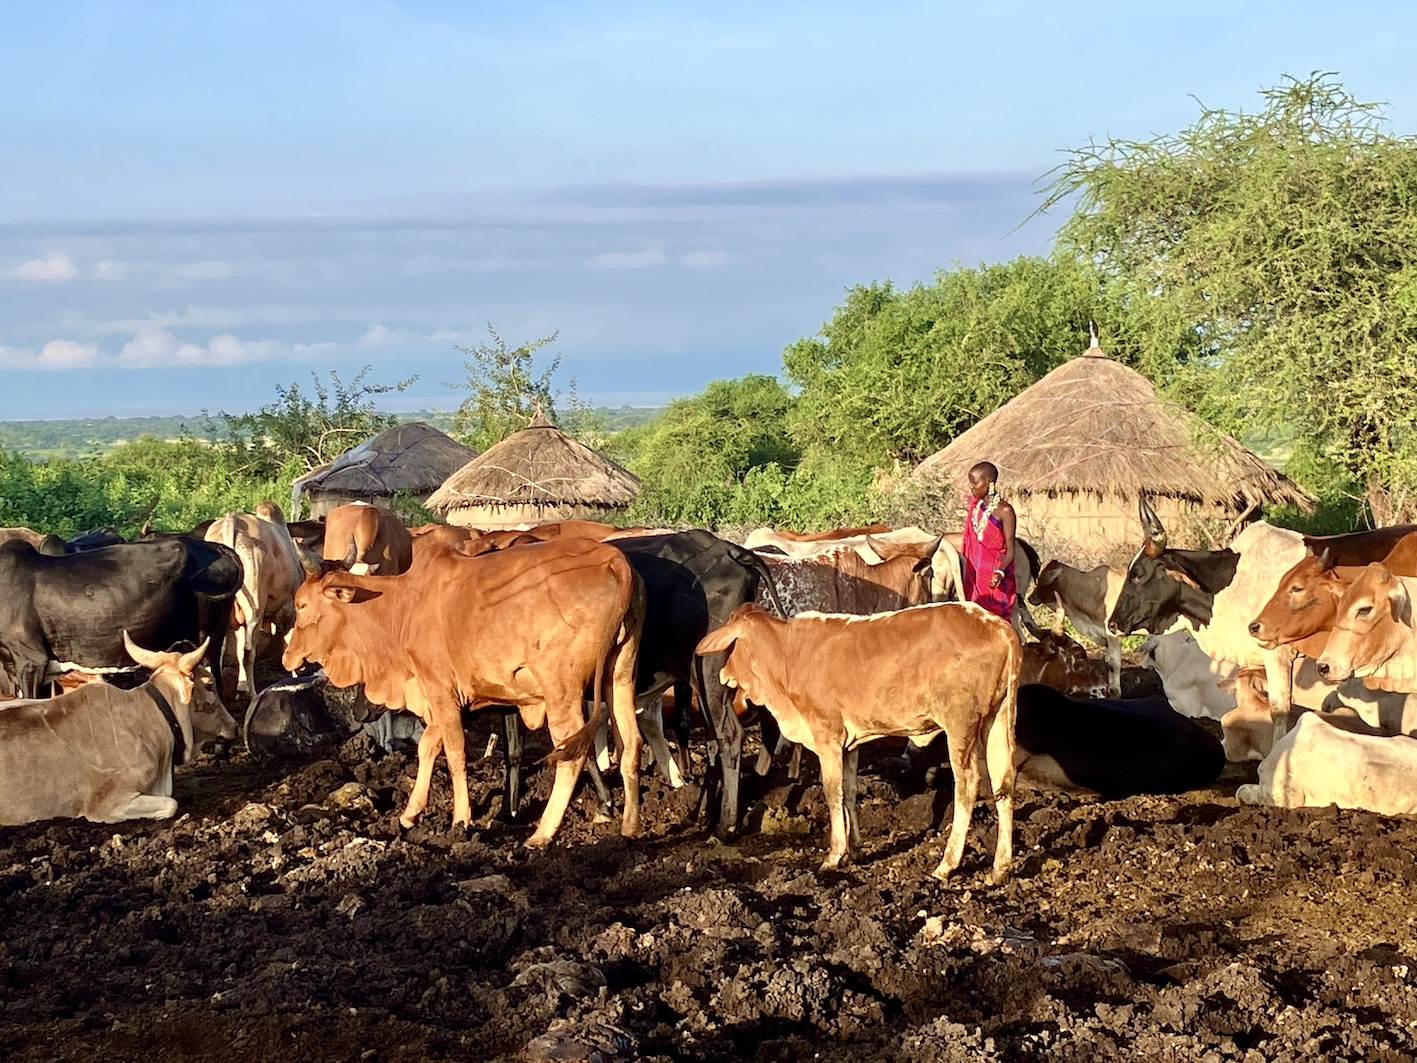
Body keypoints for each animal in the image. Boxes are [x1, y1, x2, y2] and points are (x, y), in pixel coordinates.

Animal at [205, 502, 305, 697]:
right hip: (255, 609)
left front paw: (240, 686)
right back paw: (253, 694)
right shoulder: (289, 611)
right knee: (248, 651)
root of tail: (231, 520)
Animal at [283, 537, 644, 846]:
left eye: (301, 605)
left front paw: (461, 819)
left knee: (572, 753)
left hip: (561, 692)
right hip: (619, 676)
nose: (287, 656)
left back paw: (542, 834)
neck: (402, 607)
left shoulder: (441, 691)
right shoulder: (438, 698)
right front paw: (410, 813)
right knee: (631, 742)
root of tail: (612, 559)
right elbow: (428, 746)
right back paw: (630, 826)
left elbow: (455, 753)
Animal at [695, 602, 1020, 883]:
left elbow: (832, 793)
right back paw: (1000, 868)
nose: (723, 673)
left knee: (967, 785)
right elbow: (849, 791)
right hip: (997, 719)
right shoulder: (850, 744)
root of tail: (998, 626)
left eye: (732, 646)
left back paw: (947, 864)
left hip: (960, 725)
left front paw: (834, 855)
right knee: (1003, 782)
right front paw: (855, 849)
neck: (788, 655)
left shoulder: (827, 736)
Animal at [1029, 561, 1125, 697]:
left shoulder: (1113, 635)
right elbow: (1108, 662)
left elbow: (1114, 663)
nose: (1030, 597)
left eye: (1043, 579)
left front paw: (1116, 691)